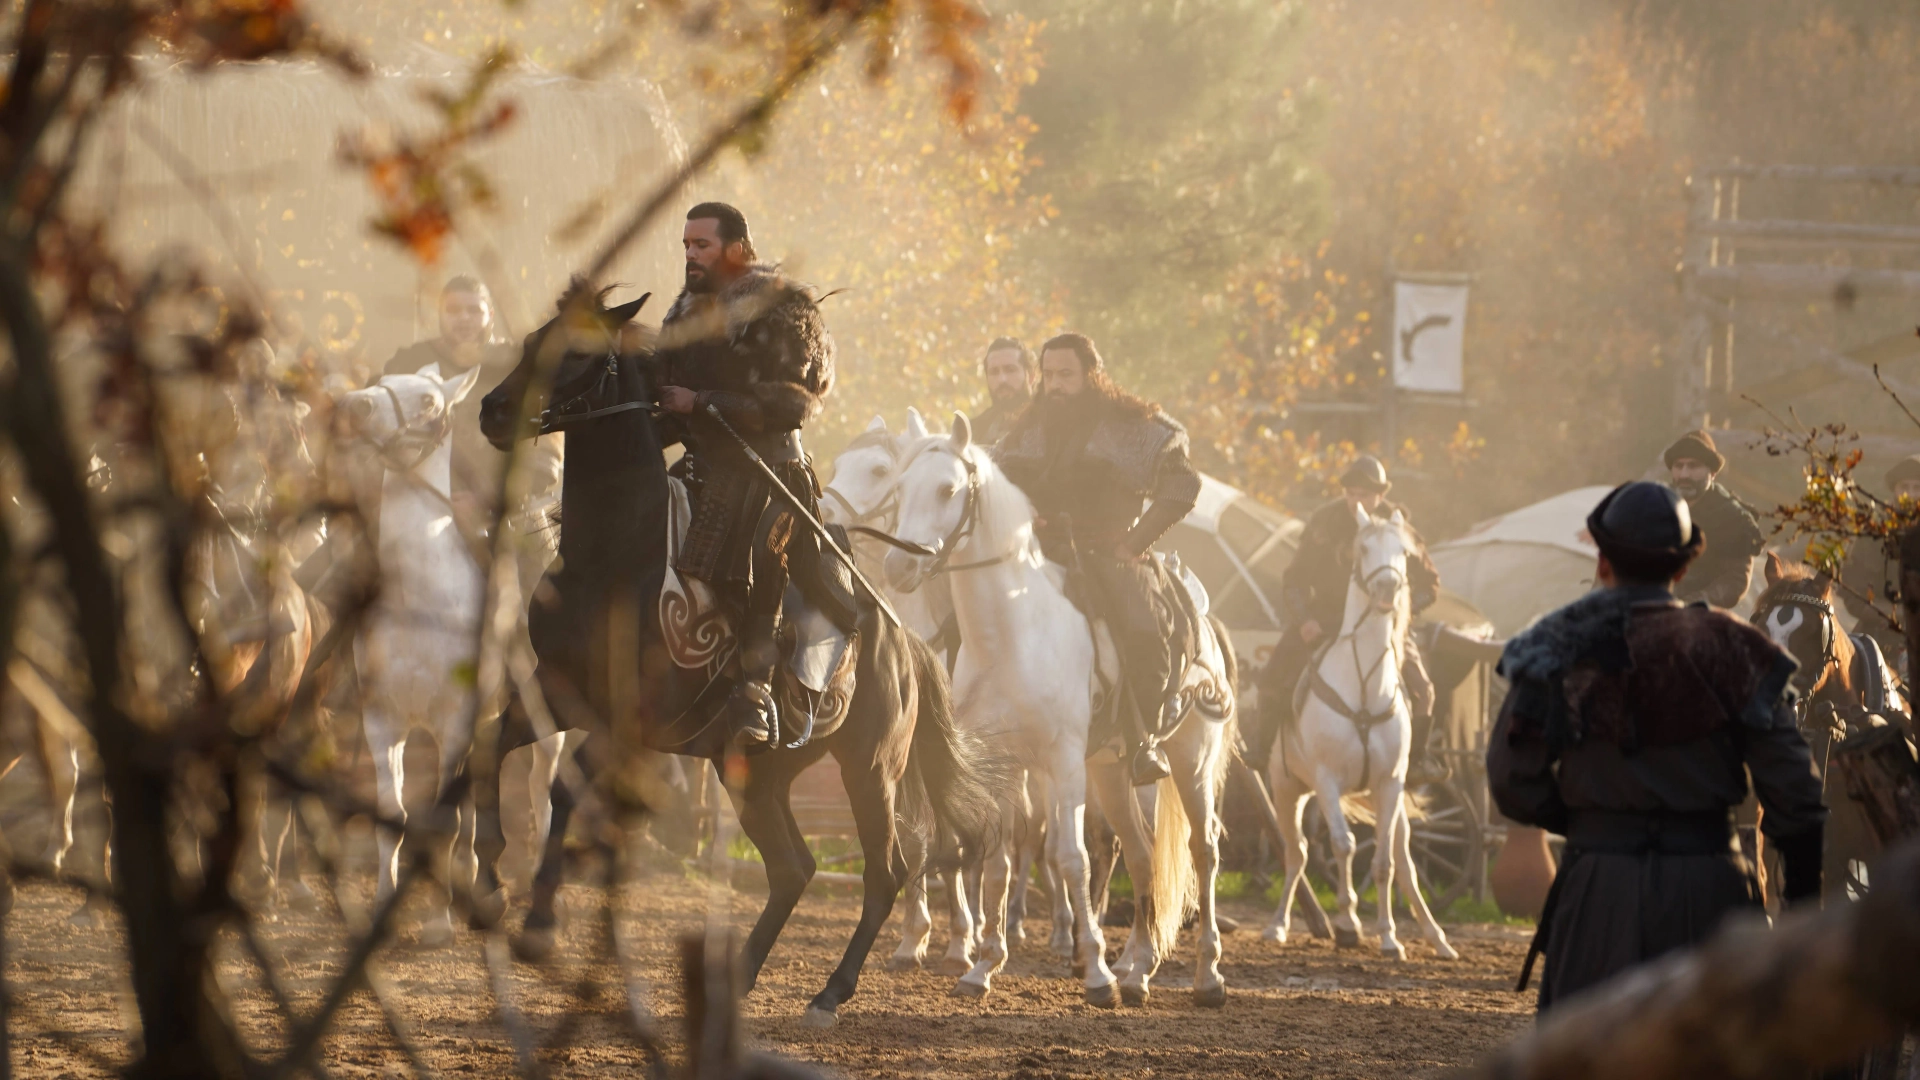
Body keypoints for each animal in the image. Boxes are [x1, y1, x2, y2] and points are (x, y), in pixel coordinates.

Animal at [472, 282, 998, 1022]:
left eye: (578, 354)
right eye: (530, 342)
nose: (493, 411)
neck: (615, 556)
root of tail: (906, 643)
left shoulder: (625, 721)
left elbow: (564, 786)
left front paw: (541, 922)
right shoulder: (556, 689)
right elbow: (490, 746)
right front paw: (489, 885)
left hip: (869, 768)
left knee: (884, 872)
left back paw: (829, 994)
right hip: (753, 771)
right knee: (793, 868)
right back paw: (740, 976)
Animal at [887, 411, 1244, 999]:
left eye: (947, 489)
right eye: (898, 490)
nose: (898, 567)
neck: (1013, 635)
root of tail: (1206, 623)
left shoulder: (1062, 762)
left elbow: (1070, 860)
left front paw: (1094, 971)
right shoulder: (1003, 766)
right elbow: (997, 865)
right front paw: (983, 967)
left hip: (1190, 763)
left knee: (1204, 849)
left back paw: (1207, 975)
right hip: (1111, 772)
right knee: (1142, 852)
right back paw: (1138, 970)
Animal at [1259, 503, 1451, 957]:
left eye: (1403, 552)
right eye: (1361, 549)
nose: (1387, 588)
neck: (1363, 683)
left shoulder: (1390, 783)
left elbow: (1383, 862)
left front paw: (1389, 937)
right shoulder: (1326, 781)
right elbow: (1343, 846)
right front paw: (1348, 921)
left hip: (1389, 803)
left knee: (1404, 861)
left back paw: (1437, 937)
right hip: (1287, 789)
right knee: (1297, 853)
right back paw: (1278, 926)